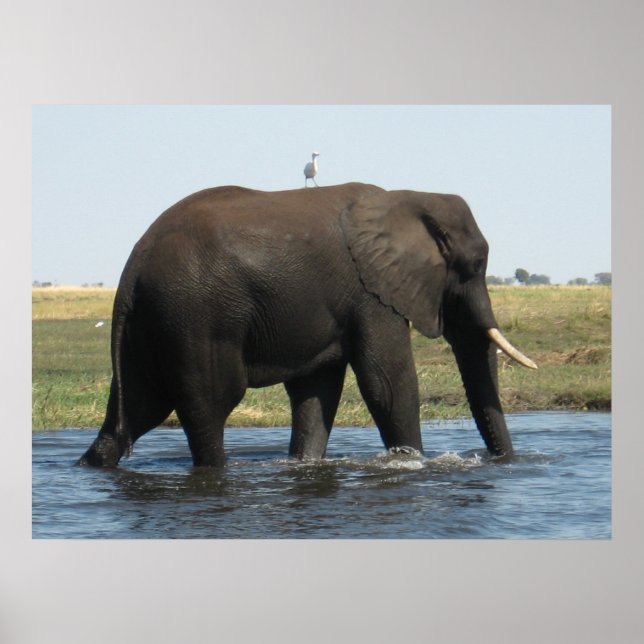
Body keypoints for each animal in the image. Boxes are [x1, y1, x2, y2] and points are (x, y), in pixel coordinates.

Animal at [79, 182, 536, 468]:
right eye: (475, 265)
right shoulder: (371, 292)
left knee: (136, 413)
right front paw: (412, 464)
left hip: (152, 326)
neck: (408, 197)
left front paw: (303, 465)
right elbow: (388, 384)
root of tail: (133, 268)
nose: (501, 461)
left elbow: (317, 393)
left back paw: (93, 464)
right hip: (196, 318)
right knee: (209, 409)